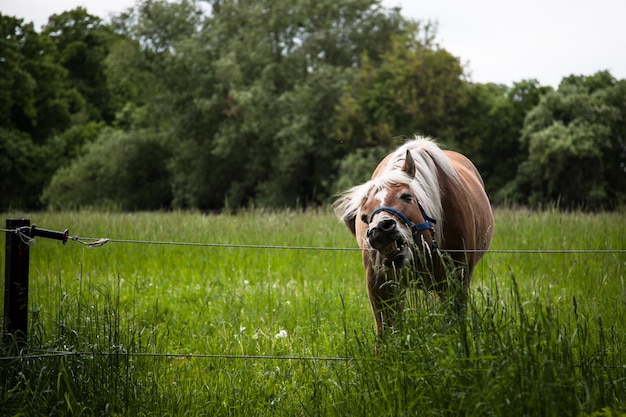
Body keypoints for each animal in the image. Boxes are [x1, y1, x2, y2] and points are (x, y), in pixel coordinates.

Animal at [332, 136, 492, 338]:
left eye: (407, 197)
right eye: (364, 216)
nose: (380, 230)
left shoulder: (457, 280)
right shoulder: (380, 285)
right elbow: (385, 331)